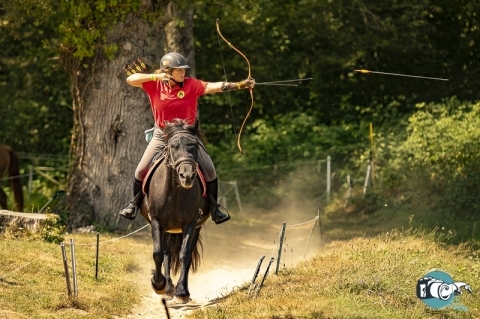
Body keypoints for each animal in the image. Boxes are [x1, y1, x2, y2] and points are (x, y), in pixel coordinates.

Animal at [142, 119, 211, 304]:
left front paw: (182, 292)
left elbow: (184, 254)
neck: (175, 193)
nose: (187, 176)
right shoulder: (157, 221)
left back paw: (177, 289)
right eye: (173, 146)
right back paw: (167, 287)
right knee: (166, 252)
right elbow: (158, 253)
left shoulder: (191, 223)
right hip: (167, 229)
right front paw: (158, 284)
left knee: (183, 254)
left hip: (194, 228)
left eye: (194, 145)